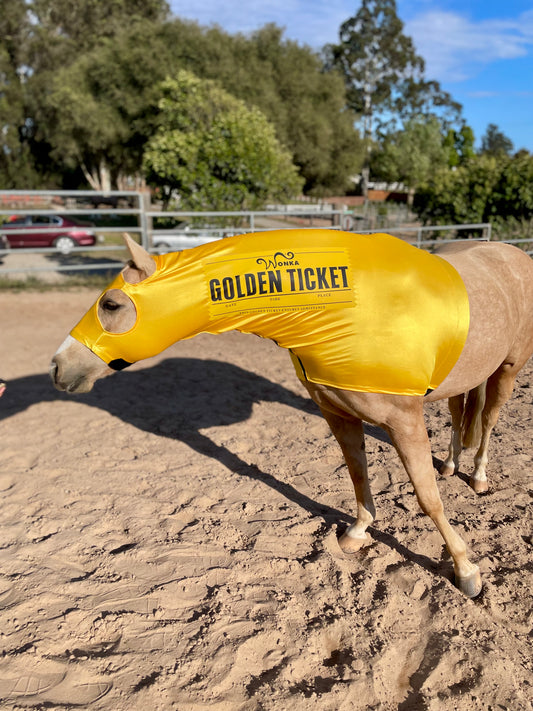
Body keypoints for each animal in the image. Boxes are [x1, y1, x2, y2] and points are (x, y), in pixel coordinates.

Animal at [50, 231, 533, 598]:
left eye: (111, 304)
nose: (57, 366)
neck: (350, 309)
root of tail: (509, 252)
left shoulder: (404, 422)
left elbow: (428, 498)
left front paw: (466, 571)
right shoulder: (337, 413)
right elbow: (358, 475)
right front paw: (357, 533)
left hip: (507, 370)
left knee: (488, 421)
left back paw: (479, 477)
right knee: (458, 412)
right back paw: (451, 464)